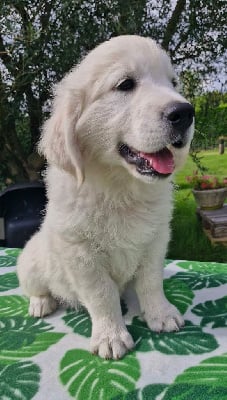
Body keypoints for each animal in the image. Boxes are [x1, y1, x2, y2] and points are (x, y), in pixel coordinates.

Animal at [17, 34, 194, 360]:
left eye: (173, 82)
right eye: (125, 84)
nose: (186, 113)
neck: (121, 187)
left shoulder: (155, 239)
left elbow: (151, 281)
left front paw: (160, 314)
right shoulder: (81, 253)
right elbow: (102, 294)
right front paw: (111, 336)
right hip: (32, 262)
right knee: (34, 286)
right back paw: (42, 302)